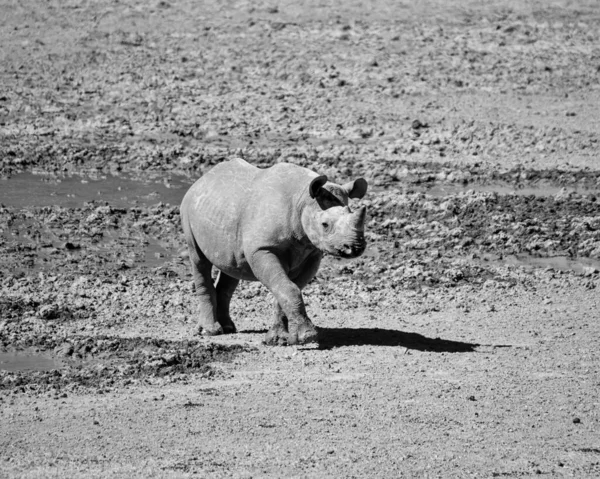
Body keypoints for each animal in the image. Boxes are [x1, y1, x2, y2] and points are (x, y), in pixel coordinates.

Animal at [179, 158, 366, 344]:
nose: (355, 247)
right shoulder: (262, 248)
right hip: (188, 208)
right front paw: (307, 336)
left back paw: (228, 328)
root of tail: (201, 180)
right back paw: (210, 331)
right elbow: (288, 288)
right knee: (199, 260)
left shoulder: (311, 253)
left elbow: (286, 289)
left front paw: (278, 339)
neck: (302, 200)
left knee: (231, 268)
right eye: (325, 225)